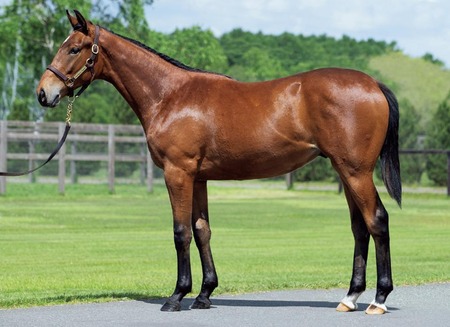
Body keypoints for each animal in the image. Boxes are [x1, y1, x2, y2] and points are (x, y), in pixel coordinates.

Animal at [36, 11, 400, 316]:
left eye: (74, 49)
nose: (43, 93)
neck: (170, 95)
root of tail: (373, 84)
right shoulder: (198, 178)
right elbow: (202, 231)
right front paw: (204, 294)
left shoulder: (178, 173)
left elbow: (181, 232)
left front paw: (177, 295)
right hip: (345, 171)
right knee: (359, 228)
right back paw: (349, 297)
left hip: (356, 172)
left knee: (377, 221)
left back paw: (379, 300)